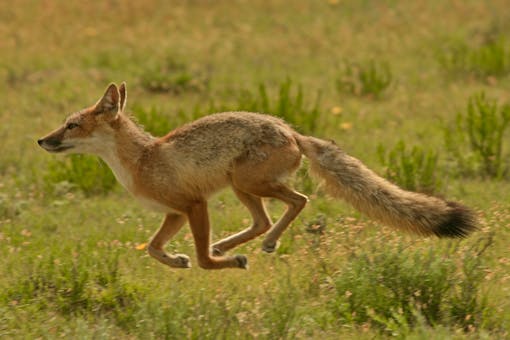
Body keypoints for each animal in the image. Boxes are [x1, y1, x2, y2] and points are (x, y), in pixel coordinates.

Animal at [37, 83, 476, 270]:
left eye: (72, 125)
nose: (42, 139)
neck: (143, 159)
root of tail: (291, 130)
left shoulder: (193, 205)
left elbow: (201, 259)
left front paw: (220, 263)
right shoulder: (175, 213)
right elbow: (153, 249)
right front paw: (178, 260)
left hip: (246, 184)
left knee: (299, 201)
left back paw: (255, 246)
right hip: (241, 188)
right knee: (264, 219)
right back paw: (234, 244)